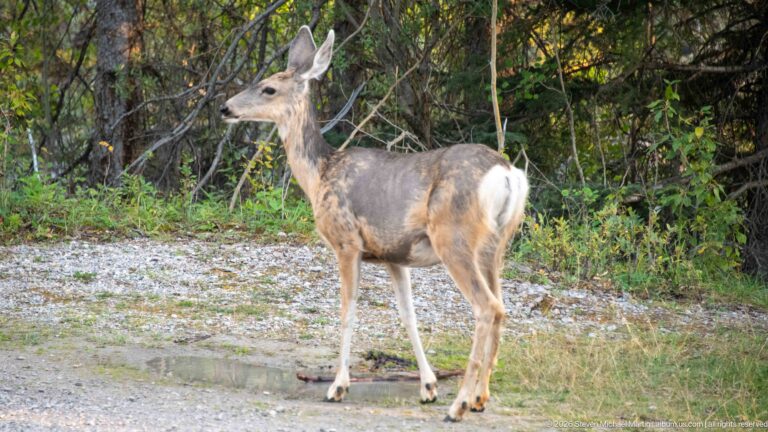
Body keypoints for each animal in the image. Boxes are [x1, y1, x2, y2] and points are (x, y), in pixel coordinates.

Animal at [220, 25, 529, 422]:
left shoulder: (346, 241)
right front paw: (428, 387)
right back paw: (479, 398)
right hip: (496, 244)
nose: (225, 108)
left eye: (269, 88)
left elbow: (347, 311)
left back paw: (458, 405)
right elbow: (408, 315)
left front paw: (338, 387)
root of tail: (507, 173)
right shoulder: (394, 256)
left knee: (486, 307)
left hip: (454, 237)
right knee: (501, 307)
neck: (320, 174)